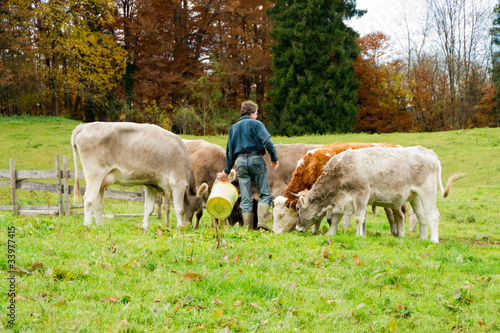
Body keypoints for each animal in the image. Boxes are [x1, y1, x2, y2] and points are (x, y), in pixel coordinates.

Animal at [71, 122, 208, 228]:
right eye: (197, 207)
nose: (188, 227)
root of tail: (84, 126)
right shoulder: (178, 183)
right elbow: (180, 209)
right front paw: (180, 228)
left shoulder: (152, 184)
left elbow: (148, 208)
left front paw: (144, 227)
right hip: (94, 175)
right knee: (89, 199)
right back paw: (88, 225)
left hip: (102, 180)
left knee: (98, 203)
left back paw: (101, 226)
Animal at [294, 147, 458, 243]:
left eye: (298, 208)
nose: (297, 228)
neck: (340, 171)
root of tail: (428, 152)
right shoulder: (341, 200)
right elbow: (334, 219)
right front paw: (330, 234)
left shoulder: (361, 194)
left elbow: (359, 218)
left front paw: (359, 236)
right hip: (415, 196)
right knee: (422, 217)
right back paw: (422, 238)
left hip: (427, 192)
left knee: (432, 215)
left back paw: (433, 240)